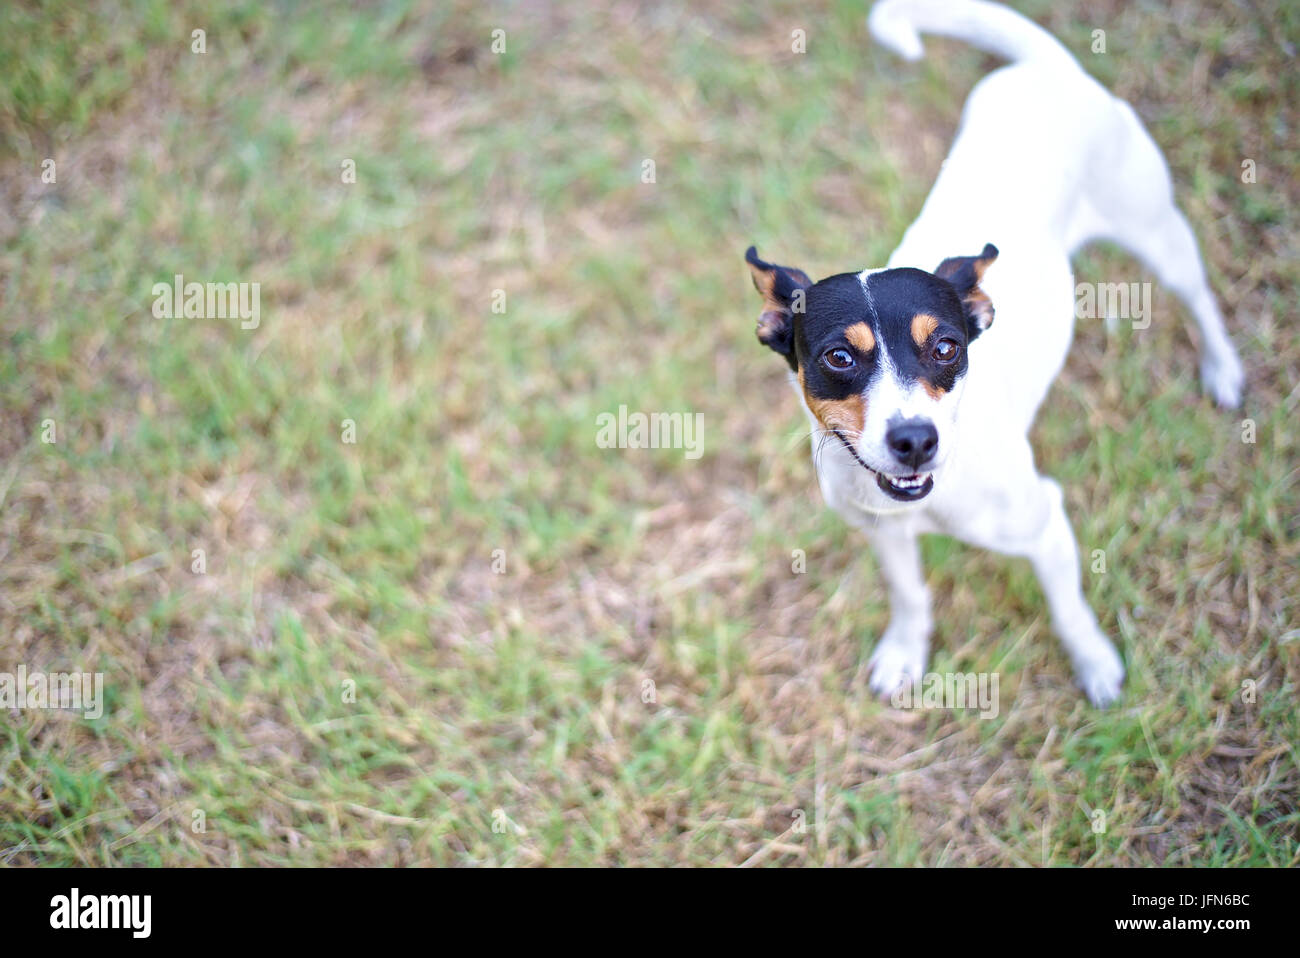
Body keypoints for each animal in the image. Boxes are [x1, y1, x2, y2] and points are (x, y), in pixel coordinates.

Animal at [743, 0, 1237, 701]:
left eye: (947, 347)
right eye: (839, 358)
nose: (914, 440)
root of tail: (1046, 67)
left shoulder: (1045, 523)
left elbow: (1069, 609)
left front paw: (1095, 665)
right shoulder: (883, 532)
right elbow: (910, 596)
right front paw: (905, 652)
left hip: (1157, 233)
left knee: (1198, 297)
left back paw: (1224, 369)